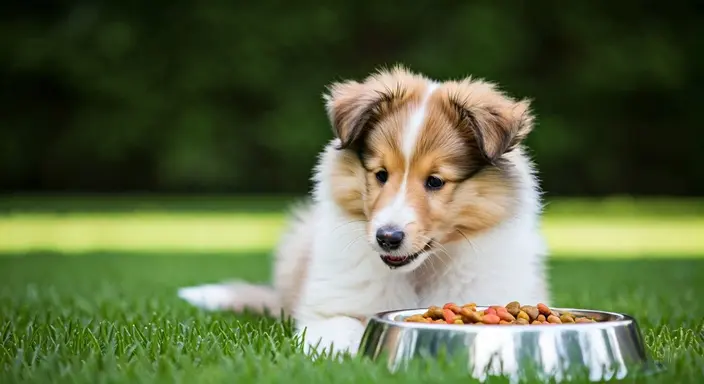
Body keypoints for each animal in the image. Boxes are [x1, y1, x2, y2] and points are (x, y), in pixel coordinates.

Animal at [176, 65, 552, 356]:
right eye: (380, 174)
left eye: (435, 181)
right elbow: (342, 332)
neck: (418, 272)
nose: (387, 238)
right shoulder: (329, 309)